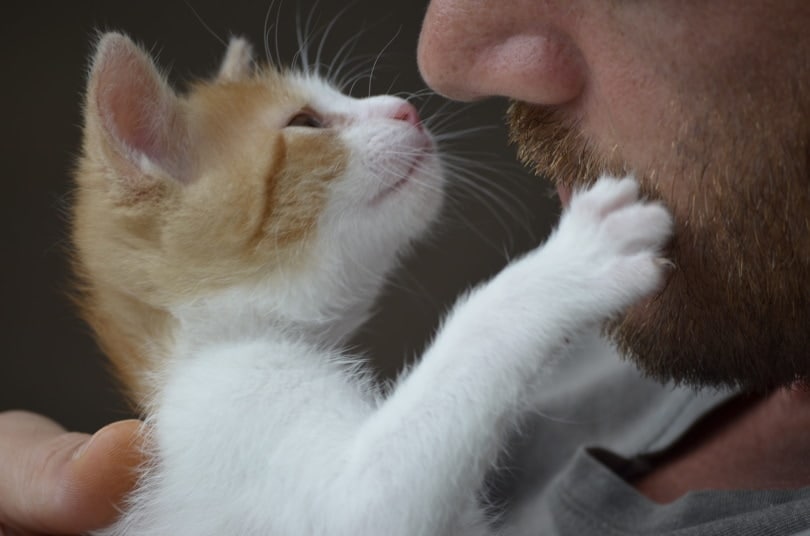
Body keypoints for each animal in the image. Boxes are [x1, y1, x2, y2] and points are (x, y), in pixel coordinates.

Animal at [74, 33, 668, 536]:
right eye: (306, 121)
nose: (405, 108)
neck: (209, 344)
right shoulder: (235, 410)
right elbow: (374, 496)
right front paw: (577, 257)